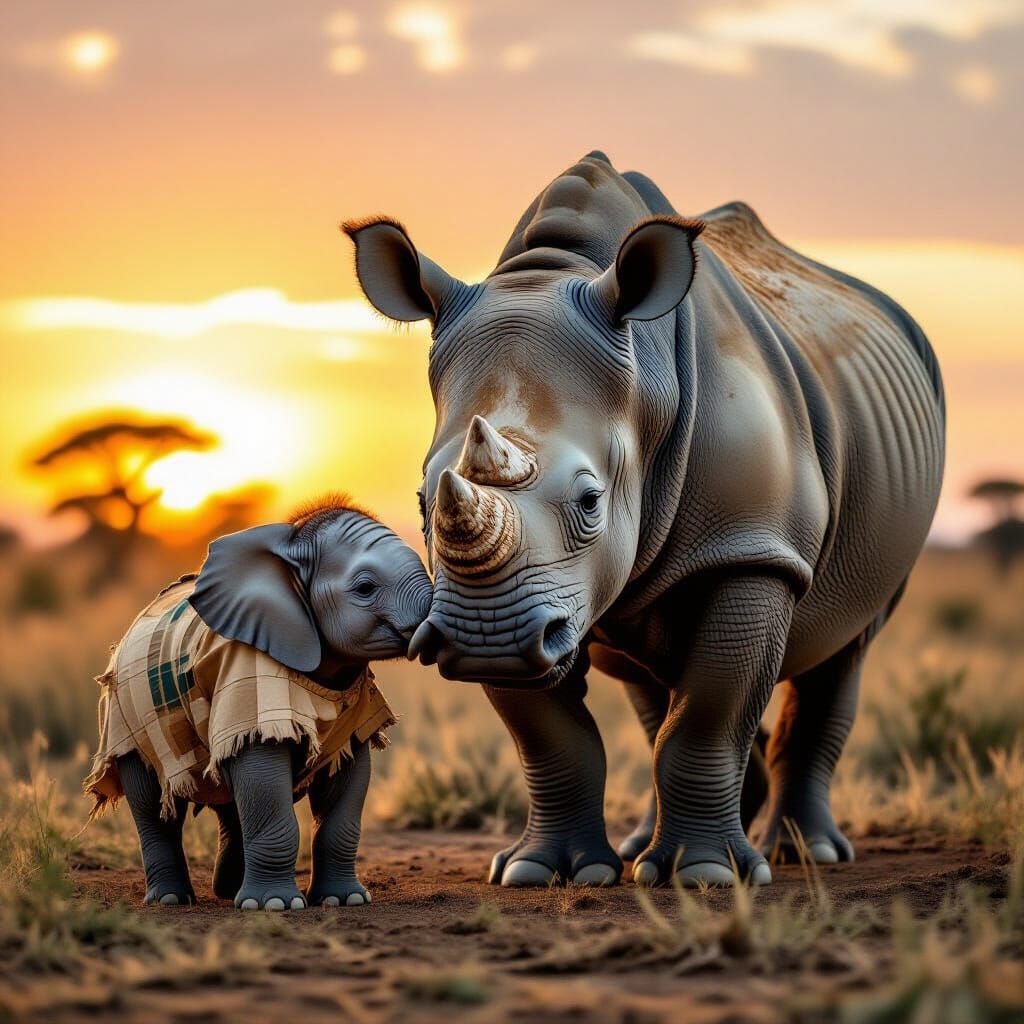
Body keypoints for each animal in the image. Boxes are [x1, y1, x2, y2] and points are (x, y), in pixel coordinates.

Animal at [85, 496, 432, 909]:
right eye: (365, 588)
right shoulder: (248, 684)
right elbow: (263, 775)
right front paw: (276, 906)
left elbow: (345, 783)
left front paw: (342, 901)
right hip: (124, 718)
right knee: (154, 806)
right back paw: (171, 900)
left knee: (233, 803)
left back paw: (229, 891)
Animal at [342, 151, 945, 889]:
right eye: (424, 502)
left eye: (591, 502)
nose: (490, 640)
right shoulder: (496, 603)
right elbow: (551, 735)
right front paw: (542, 872)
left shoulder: (751, 548)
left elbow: (709, 713)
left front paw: (707, 877)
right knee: (649, 683)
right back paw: (642, 852)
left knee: (845, 647)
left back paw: (804, 854)